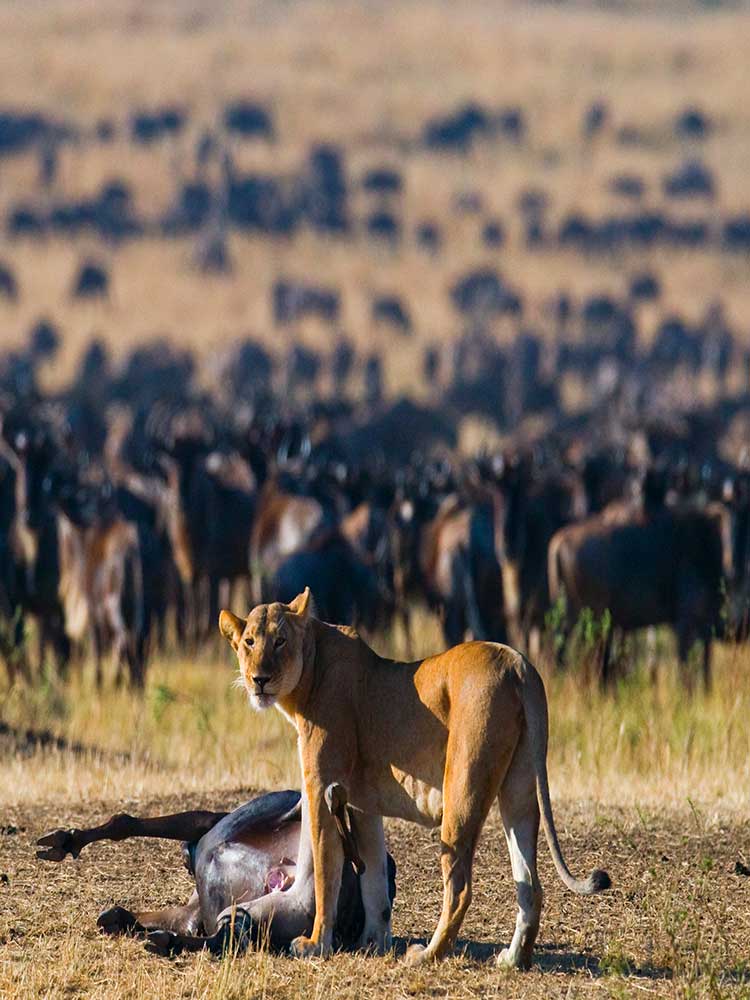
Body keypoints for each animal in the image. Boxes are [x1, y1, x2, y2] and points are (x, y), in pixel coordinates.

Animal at [219, 588, 610, 968]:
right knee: (530, 884)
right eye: (249, 642)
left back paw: (426, 955)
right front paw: (373, 943)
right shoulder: (360, 805)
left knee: (460, 889)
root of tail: (518, 663)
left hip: (463, 788)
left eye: (280, 641)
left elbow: (326, 872)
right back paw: (512, 960)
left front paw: (316, 945)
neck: (310, 672)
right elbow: (373, 879)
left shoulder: (321, 788)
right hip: (520, 790)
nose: (259, 680)